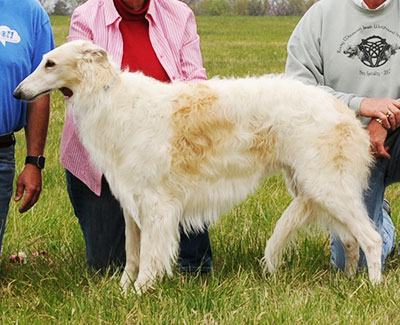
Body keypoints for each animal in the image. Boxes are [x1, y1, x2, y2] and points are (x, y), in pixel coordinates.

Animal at [14, 39, 382, 292]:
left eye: (50, 63)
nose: (18, 93)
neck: (111, 98)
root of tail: (345, 112)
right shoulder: (131, 203)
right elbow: (132, 255)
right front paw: (122, 290)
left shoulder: (156, 205)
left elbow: (149, 256)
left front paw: (141, 291)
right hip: (316, 187)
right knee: (350, 241)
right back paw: (347, 281)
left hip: (326, 186)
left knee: (371, 238)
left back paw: (372, 285)